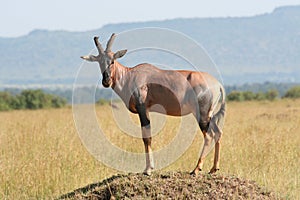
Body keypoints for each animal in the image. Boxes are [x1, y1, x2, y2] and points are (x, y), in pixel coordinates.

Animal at [81, 33, 226, 175]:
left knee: (209, 136)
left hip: (202, 114)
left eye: (112, 61)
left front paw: (148, 169)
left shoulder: (143, 109)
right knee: (218, 133)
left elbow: (147, 137)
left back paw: (196, 169)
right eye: (99, 61)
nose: (106, 81)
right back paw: (214, 168)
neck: (130, 75)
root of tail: (217, 84)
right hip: (209, 115)